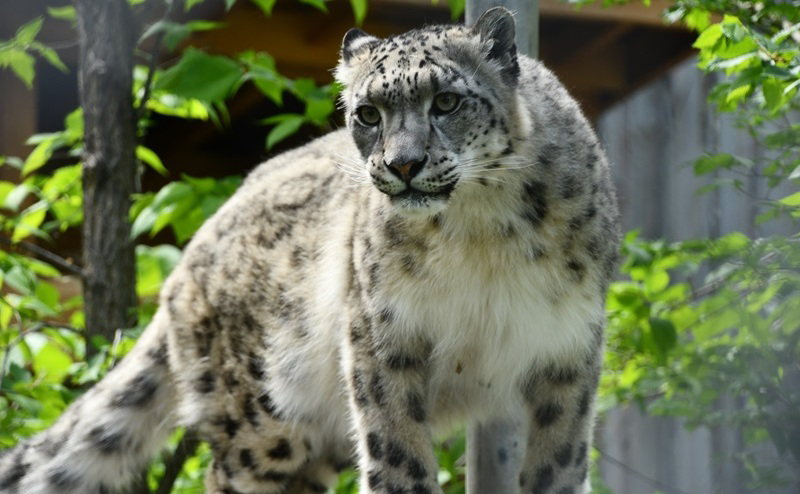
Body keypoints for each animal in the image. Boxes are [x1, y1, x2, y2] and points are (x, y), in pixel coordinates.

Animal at [0, 7, 620, 494]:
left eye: (446, 101)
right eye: (367, 113)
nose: (403, 164)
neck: (479, 234)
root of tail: (187, 262)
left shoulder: (566, 354)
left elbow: (559, 465)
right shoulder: (383, 341)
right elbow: (397, 458)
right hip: (264, 416)